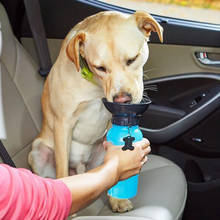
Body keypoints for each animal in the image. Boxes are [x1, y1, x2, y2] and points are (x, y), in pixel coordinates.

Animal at [28, 10, 162, 213]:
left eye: (132, 59)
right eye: (100, 67)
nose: (122, 99)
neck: (96, 87)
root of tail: (80, 168)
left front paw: (118, 201)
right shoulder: (63, 124)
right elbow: (62, 171)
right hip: (37, 152)